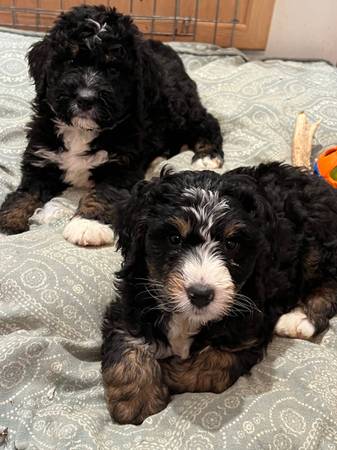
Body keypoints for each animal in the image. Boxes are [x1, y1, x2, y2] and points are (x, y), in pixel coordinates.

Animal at [0, 4, 222, 246]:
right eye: (71, 62)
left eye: (113, 70)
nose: (85, 99)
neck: (81, 131)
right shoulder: (40, 161)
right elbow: (24, 194)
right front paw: (8, 220)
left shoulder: (120, 167)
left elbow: (103, 193)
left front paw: (88, 224)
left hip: (177, 107)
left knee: (206, 122)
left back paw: (207, 156)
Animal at [101, 163, 336, 426]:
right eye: (174, 238)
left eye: (231, 243)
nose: (201, 295)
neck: (188, 318)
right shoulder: (130, 301)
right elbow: (127, 339)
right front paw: (135, 398)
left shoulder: (250, 328)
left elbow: (213, 364)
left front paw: (170, 372)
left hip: (317, 245)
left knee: (330, 281)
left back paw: (300, 318)